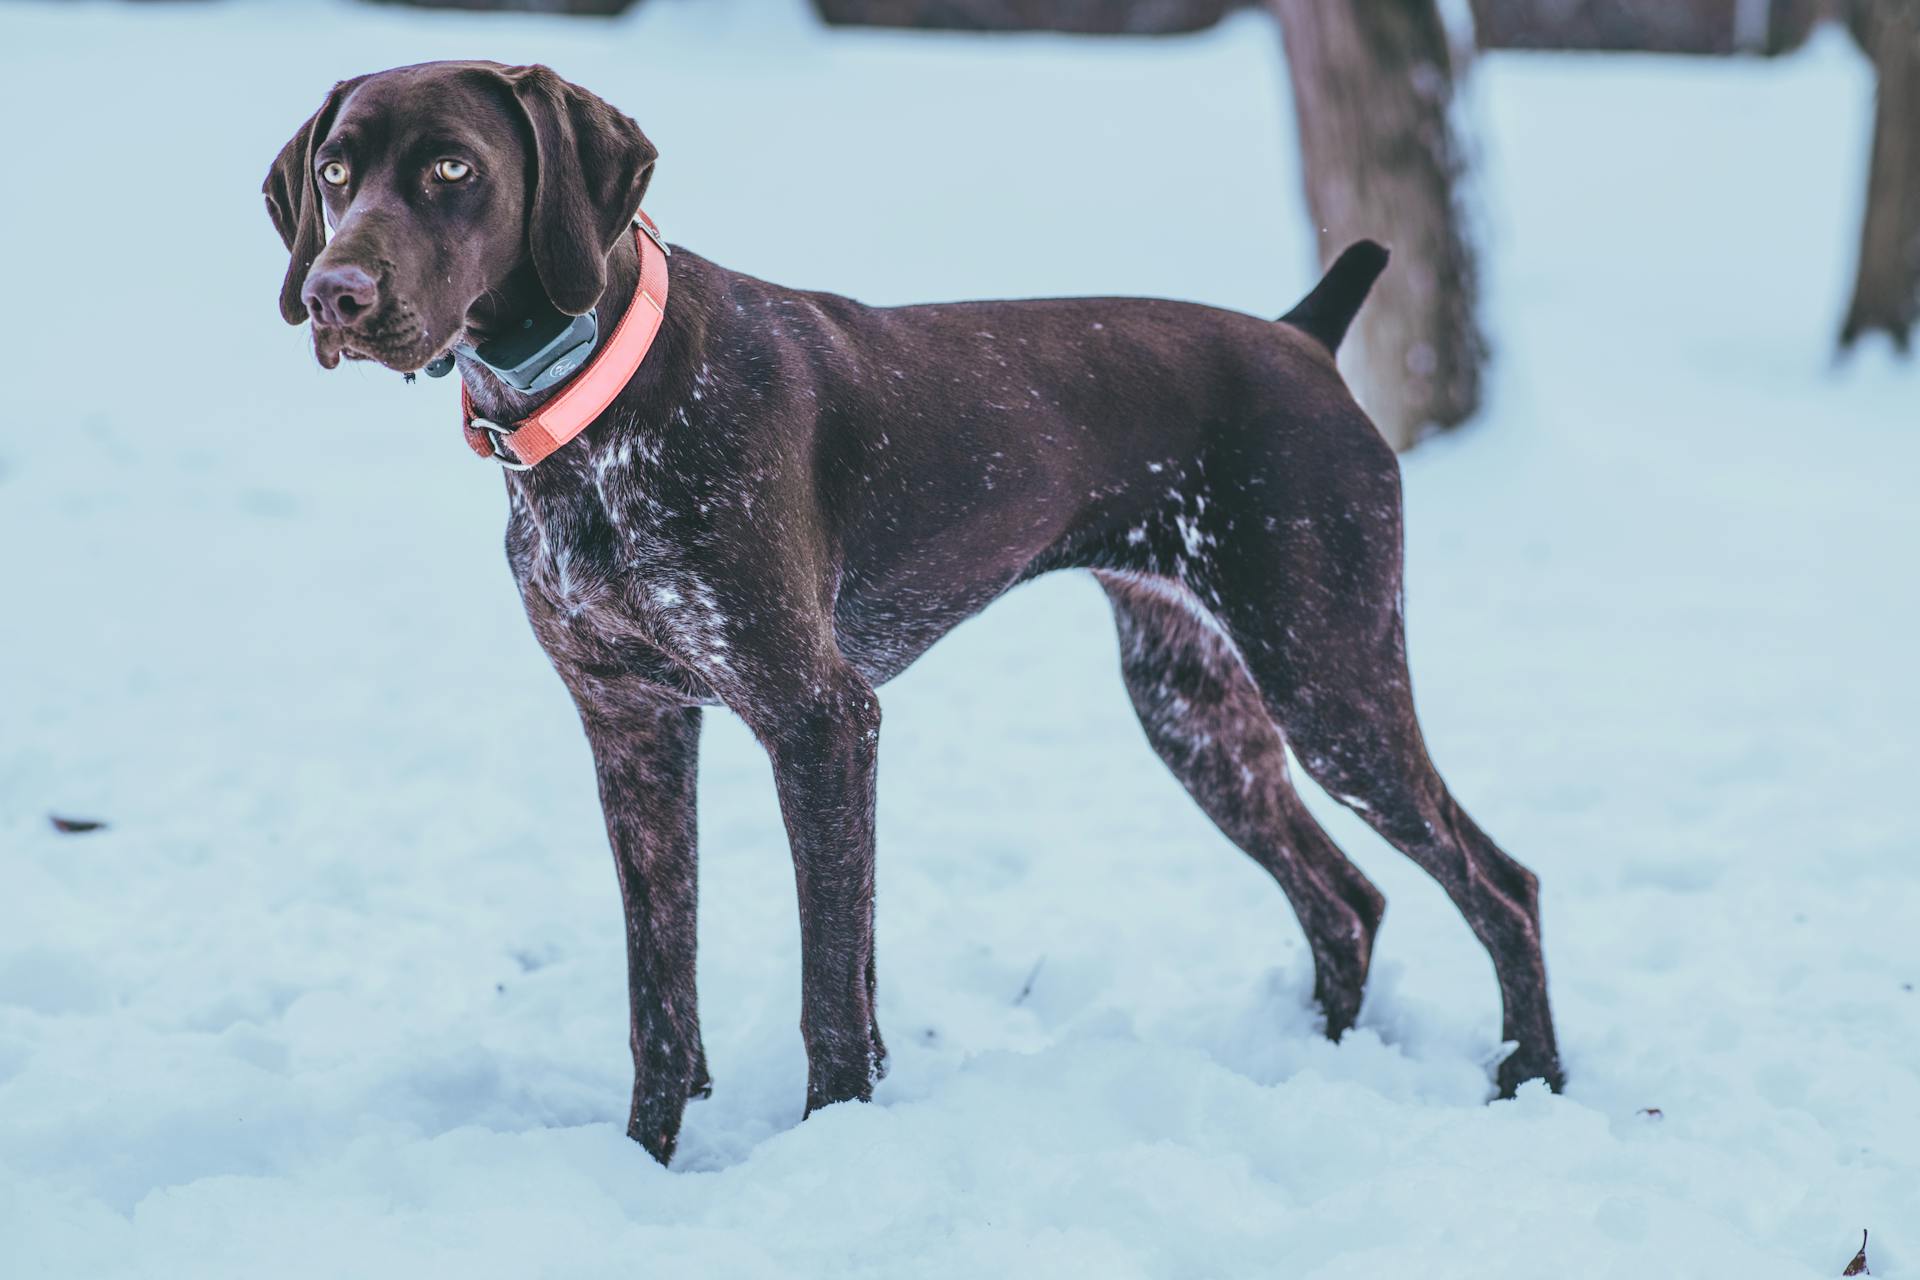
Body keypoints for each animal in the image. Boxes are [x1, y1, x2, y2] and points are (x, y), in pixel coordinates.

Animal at [266, 62, 1559, 1174]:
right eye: (335, 172)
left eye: (453, 167)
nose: (335, 293)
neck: (594, 409)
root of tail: (1303, 335)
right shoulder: (632, 729)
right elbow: (662, 999)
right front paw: (643, 1166)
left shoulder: (821, 720)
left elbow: (832, 991)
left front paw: (828, 1156)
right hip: (1198, 714)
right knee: (1347, 900)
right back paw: (1317, 1062)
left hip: (1328, 681)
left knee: (1500, 883)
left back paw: (1530, 1082)